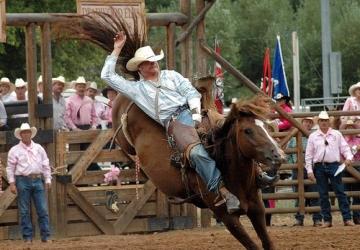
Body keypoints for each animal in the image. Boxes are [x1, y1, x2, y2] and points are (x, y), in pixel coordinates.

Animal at [112, 94, 284, 250]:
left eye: (266, 126)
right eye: (248, 130)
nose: (279, 155)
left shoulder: (257, 208)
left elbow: (268, 243)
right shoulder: (227, 217)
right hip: (123, 138)